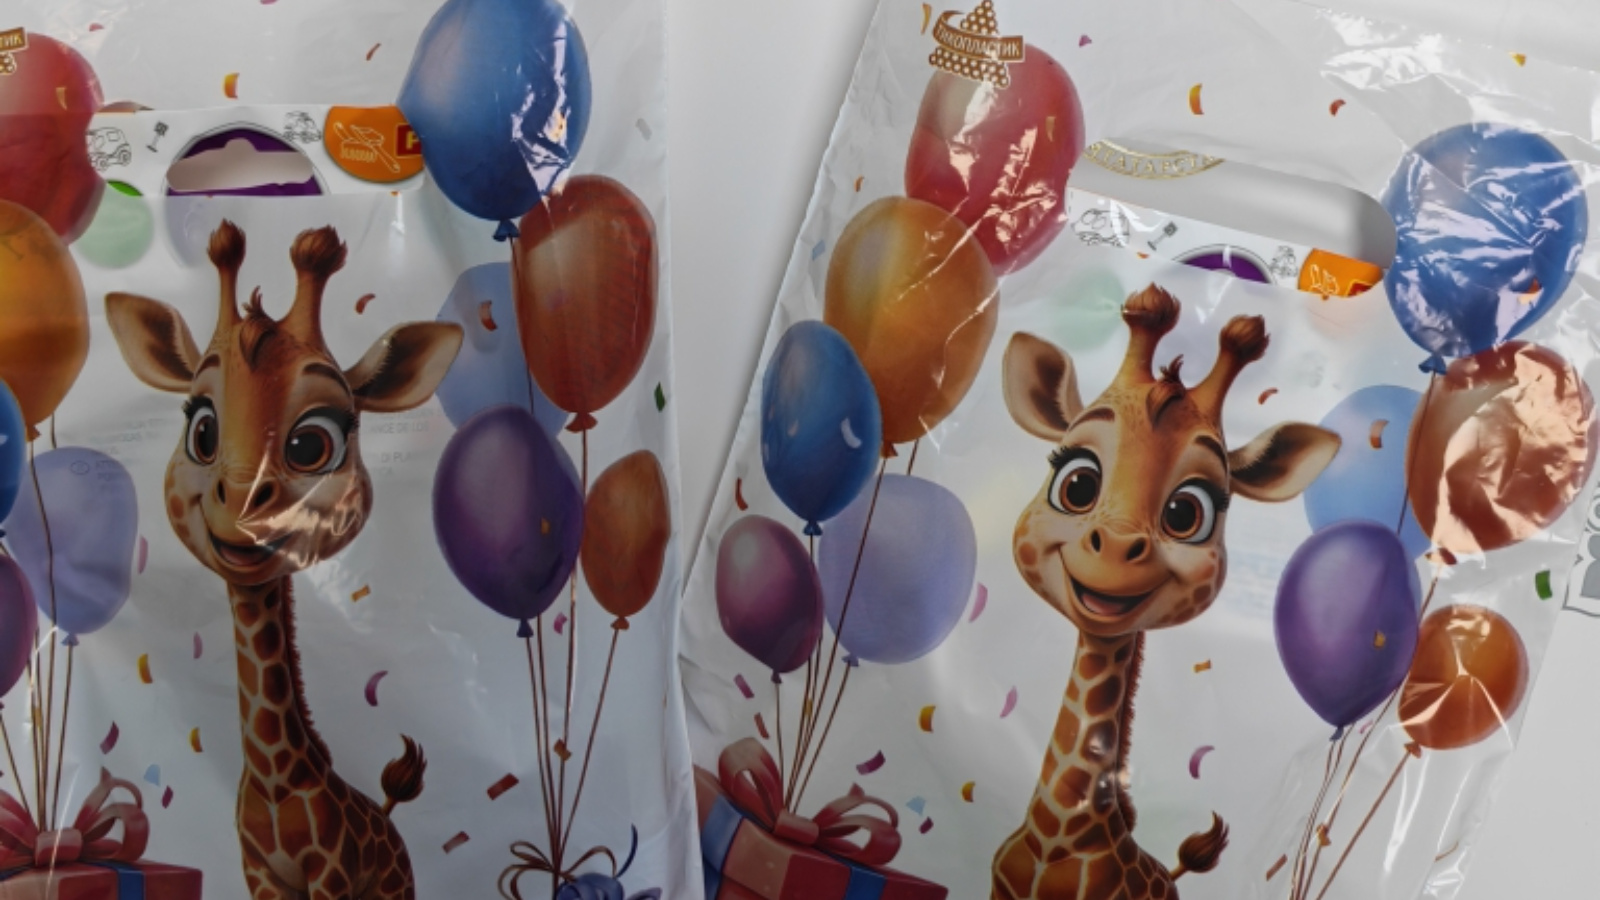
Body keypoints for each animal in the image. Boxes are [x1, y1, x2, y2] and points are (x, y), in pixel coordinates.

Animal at [104, 221, 463, 899]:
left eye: (311, 443)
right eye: (202, 429)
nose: (243, 506)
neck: (275, 783)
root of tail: (387, 817)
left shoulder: (329, 875)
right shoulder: (259, 873)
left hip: (391, 886)